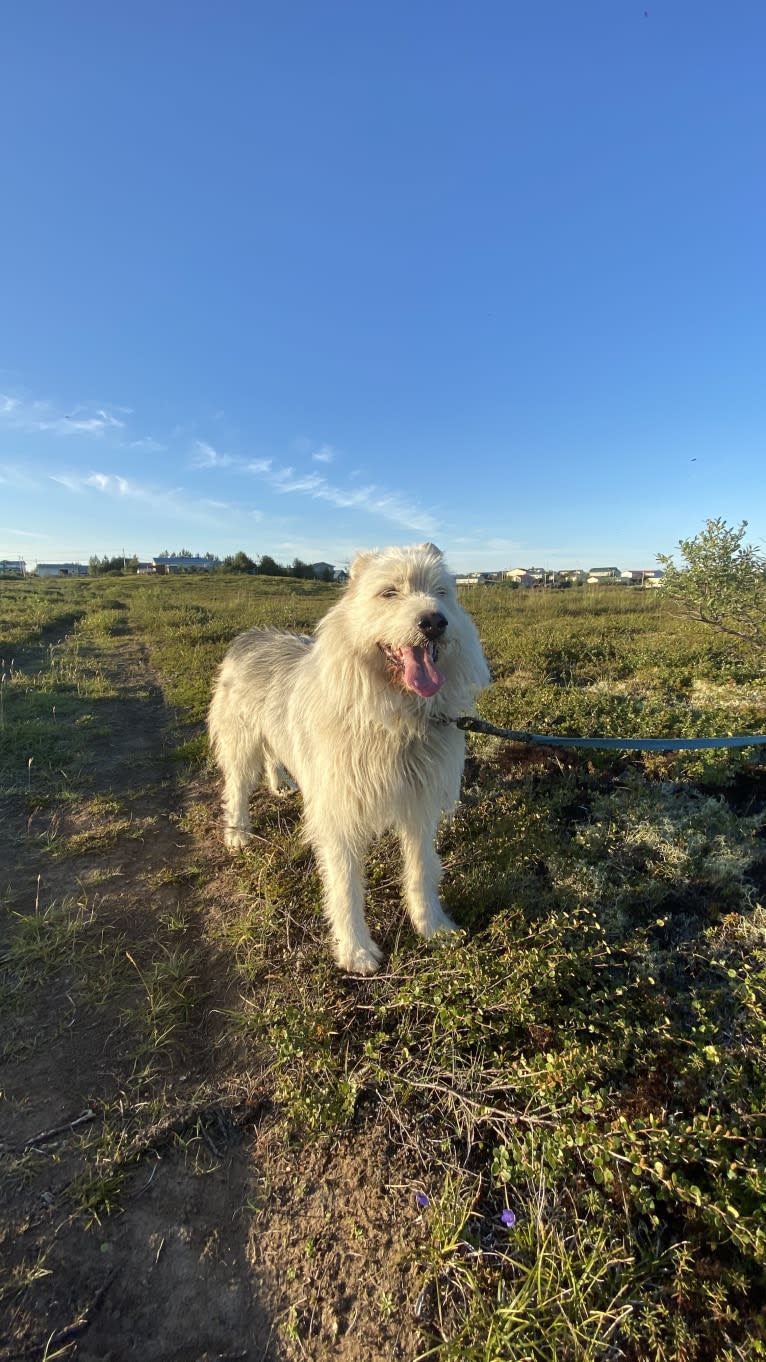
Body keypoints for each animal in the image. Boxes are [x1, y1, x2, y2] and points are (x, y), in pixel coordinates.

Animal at [205, 536, 485, 975]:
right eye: (389, 593)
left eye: (441, 593)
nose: (434, 622)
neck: (395, 715)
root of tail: (251, 635)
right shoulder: (339, 813)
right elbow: (344, 885)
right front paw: (355, 950)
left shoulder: (419, 805)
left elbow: (422, 869)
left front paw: (432, 927)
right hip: (241, 740)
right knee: (236, 786)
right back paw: (237, 832)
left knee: (273, 756)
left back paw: (280, 784)